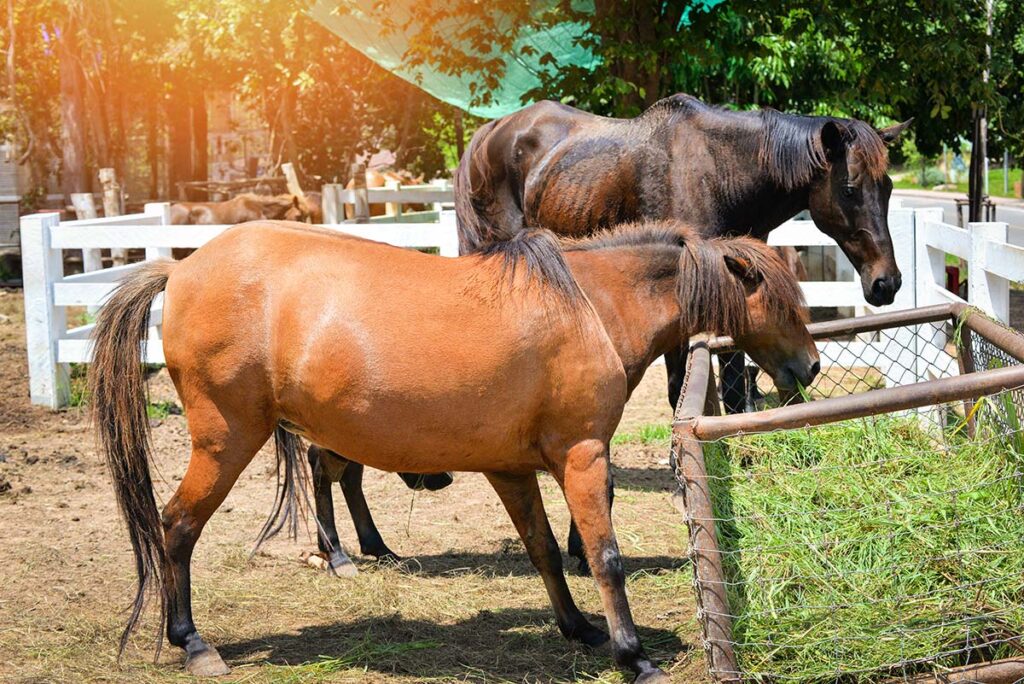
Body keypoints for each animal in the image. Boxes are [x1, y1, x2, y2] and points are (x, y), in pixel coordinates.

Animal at [89, 219, 816, 681]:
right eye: (783, 303)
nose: (809, 367)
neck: (587, 306)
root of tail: (181, 267)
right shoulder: (582, 455)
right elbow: (604, 560)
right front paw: (632, 656)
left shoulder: (510, 469)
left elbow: (544, 550)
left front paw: (578, 629)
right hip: (226, 441)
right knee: (176, 526)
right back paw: (193, 643)